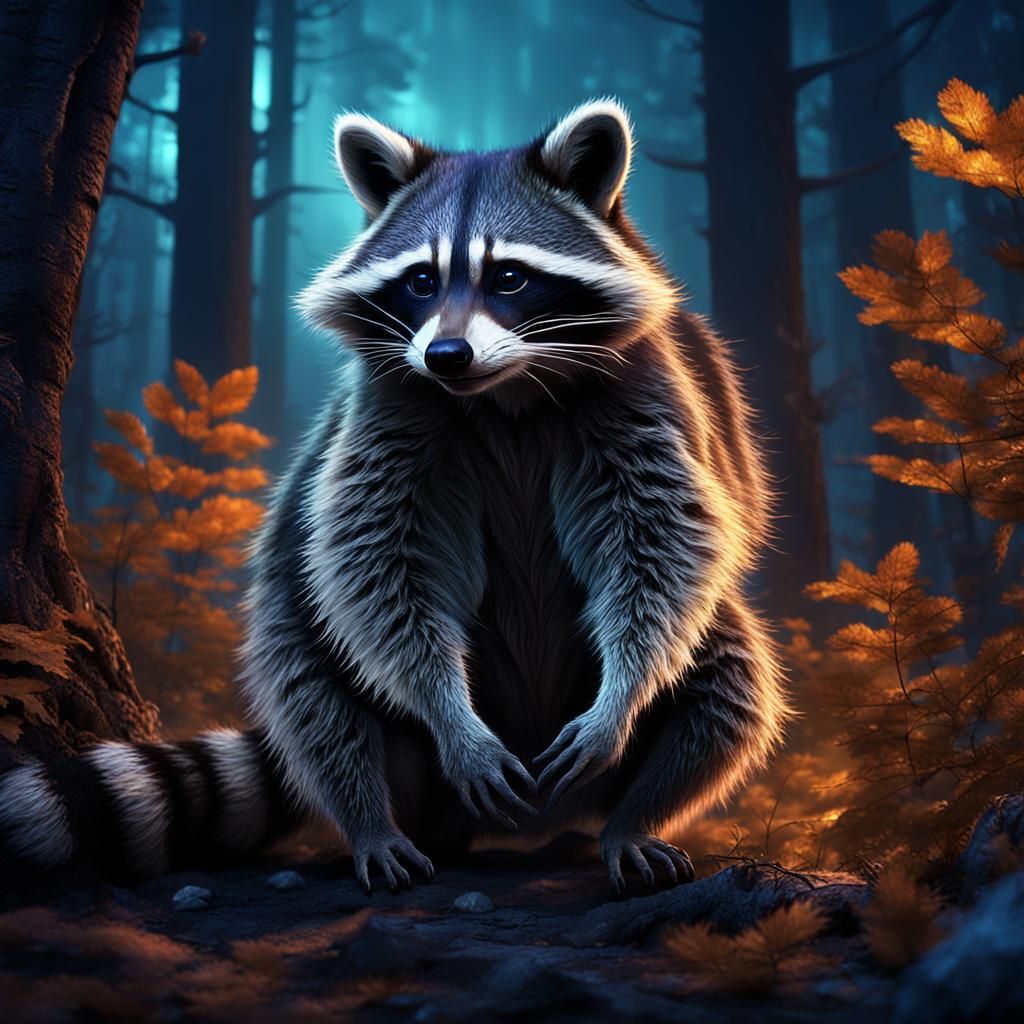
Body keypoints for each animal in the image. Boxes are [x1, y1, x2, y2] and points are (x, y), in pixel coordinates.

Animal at [0, 100, 789, 894]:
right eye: (420, 281)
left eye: (509, 277)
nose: (447, 355)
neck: (505, 393)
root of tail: (527, 822)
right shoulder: (393, 406)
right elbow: (380, 563)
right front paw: (448, 716)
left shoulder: (647, 392)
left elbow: (659, 546)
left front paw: (621, 698)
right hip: (344, 678)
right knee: (313, 678)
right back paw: (371, 819)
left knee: (729, 678)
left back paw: (634, 817)